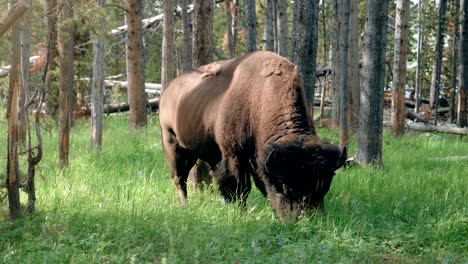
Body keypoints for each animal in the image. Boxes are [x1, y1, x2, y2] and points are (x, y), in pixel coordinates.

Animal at [159, 50, 346, 220]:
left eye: (325, 186)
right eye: (285, 187)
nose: (306, 219)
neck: (260, 102)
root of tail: (167, 91)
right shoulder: (234, 157)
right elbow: (241, 188)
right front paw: (241, 212)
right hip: (173, 145)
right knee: (179, 179)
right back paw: (184, 206)